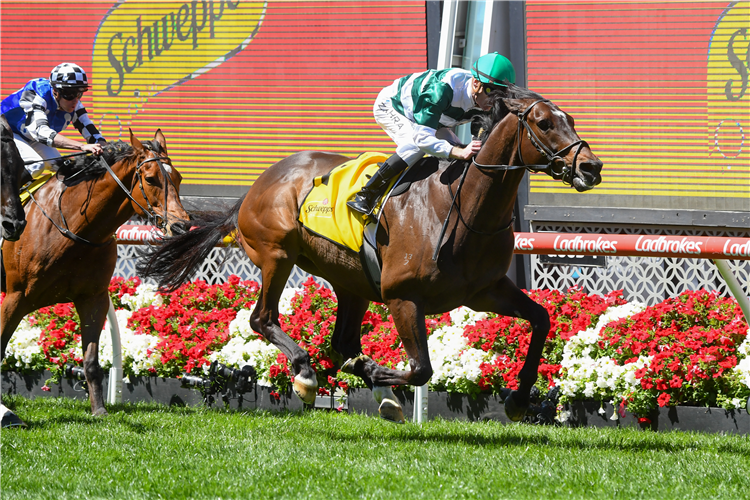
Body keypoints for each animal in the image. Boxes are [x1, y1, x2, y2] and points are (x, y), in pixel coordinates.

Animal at [0, 130, 189, 426]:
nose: (180, 226)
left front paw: (99, 409)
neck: (73, 229)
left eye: (178, 177)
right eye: (150, 178)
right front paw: (5, 413)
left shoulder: (93, 298)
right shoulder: (15, 297)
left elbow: (91, 360)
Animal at [138, 86, 604, 422]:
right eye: (543, 123)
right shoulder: (402, 296)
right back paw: (307, 374)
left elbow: (541, 319)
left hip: (352, 281)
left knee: (341, 341)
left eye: (570, 119)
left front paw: (519, 400)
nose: (591, 167)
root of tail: (257, 184)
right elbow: (422, 368)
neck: (461, 207)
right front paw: (372, 371)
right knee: (264, 319)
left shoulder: (485, 291)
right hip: (277, 254)